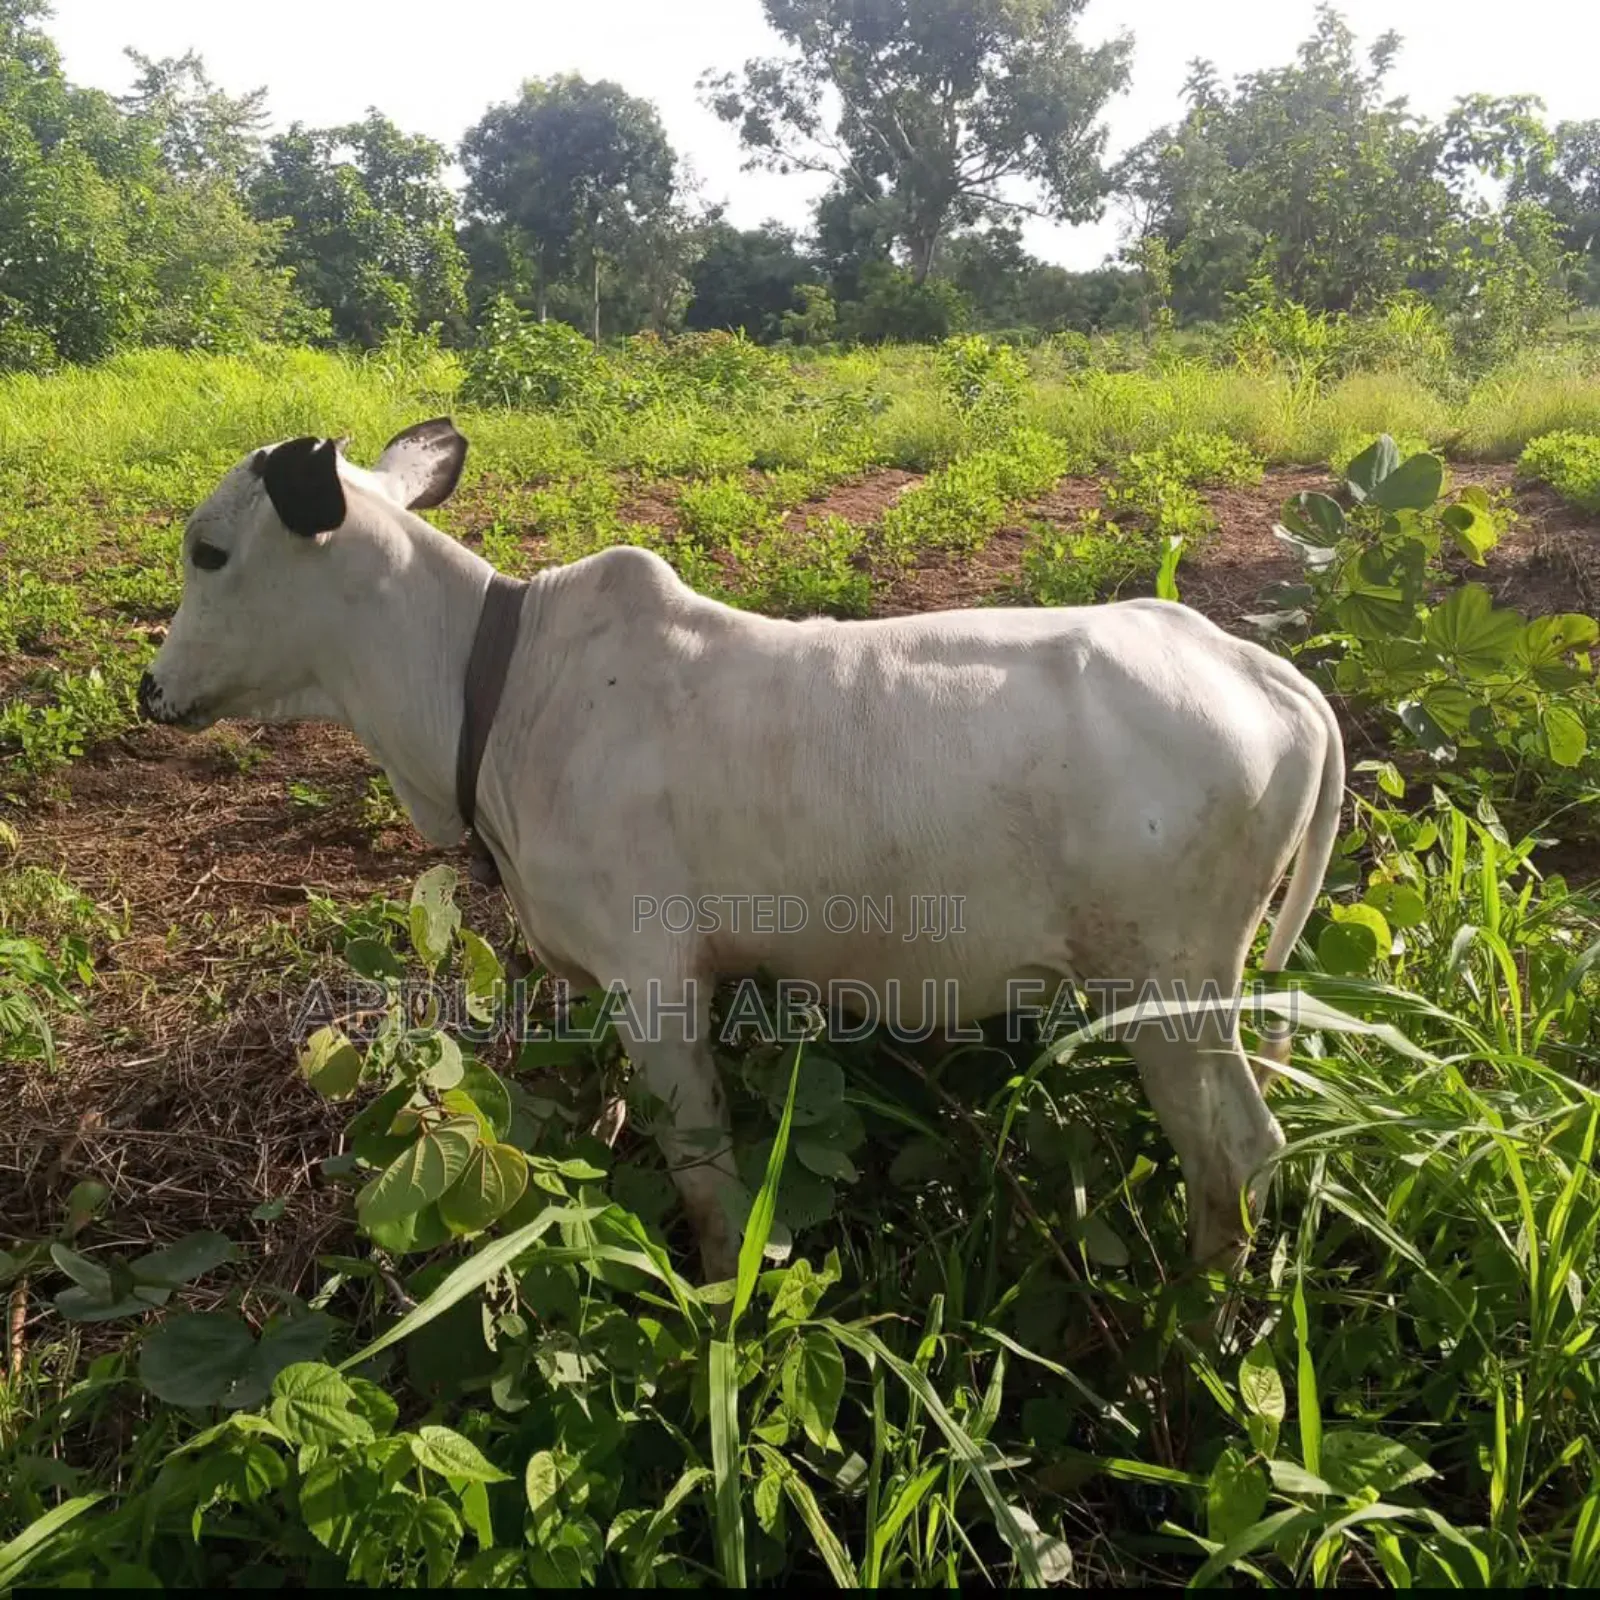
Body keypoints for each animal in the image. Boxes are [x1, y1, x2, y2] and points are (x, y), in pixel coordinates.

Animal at [139, 418, 1345, 1288]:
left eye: (210, 551)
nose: (151, 689)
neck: (496, 695)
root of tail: (1257, 668)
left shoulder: (657, 978)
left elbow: (709, 1186)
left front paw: (720, 1303)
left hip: (1168, 986)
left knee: (1239, 1152)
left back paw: (1198, 1328)